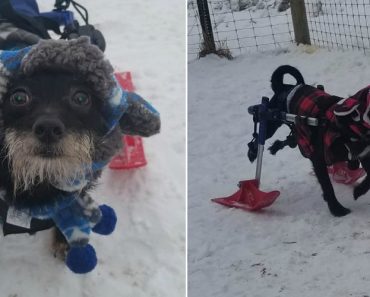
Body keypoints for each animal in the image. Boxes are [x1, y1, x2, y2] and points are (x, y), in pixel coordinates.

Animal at [264, 65, 370, 216]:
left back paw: (276, 146)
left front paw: (358, 191)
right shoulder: (318, 159)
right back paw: (253, 151)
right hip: (271, 121)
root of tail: (286, 86)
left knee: (291, 140)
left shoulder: (364, 154)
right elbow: (327, 186)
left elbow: (369, 178)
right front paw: (337, 209)